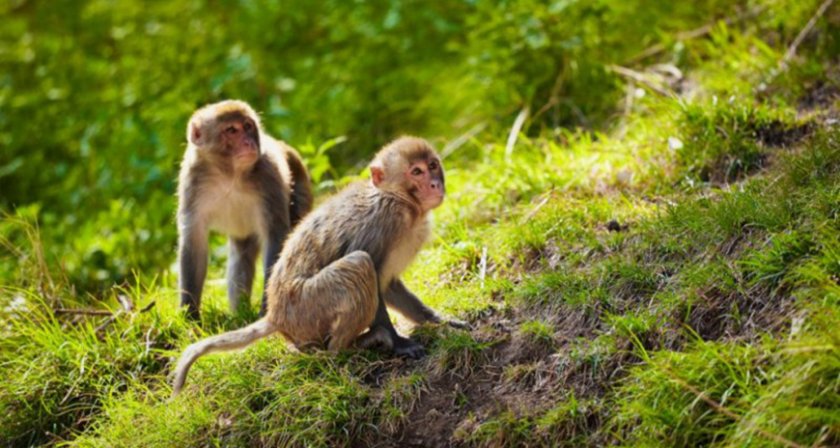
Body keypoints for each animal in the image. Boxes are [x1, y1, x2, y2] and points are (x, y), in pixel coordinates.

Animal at [174, 136, 466, 396]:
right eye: (415, 171)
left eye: (432, 165)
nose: (434, 183)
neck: (402, 201)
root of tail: (275, 314)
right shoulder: (384, 222)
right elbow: (371, 270)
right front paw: (398, 343)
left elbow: (388, 285)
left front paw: (436, 320)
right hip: (306, 306)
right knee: (359, 265)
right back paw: (350, 347)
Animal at [177, 100, 312, 320]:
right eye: (232, 130)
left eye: (248, 126)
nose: (249, 142)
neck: (229, 174)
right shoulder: (193, 180)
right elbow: (193, 240)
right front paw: (190, 314)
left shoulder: (269, 174)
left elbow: (276, 237)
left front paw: (267, 309)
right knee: (241, 255)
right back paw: (239, 312)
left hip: (301, 192)